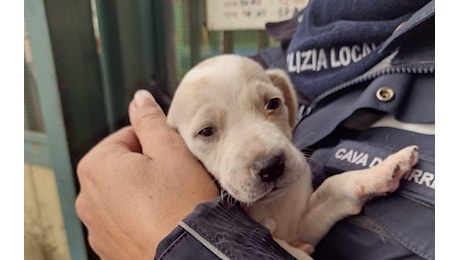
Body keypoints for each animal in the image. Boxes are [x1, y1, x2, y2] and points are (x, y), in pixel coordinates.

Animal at [167, 53, 418, 258]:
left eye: (273, 103)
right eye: (206, 132)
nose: (270, 166)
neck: (272, 206)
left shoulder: (302, 226)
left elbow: (333, 186)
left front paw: (385, 170)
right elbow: (290, 249)